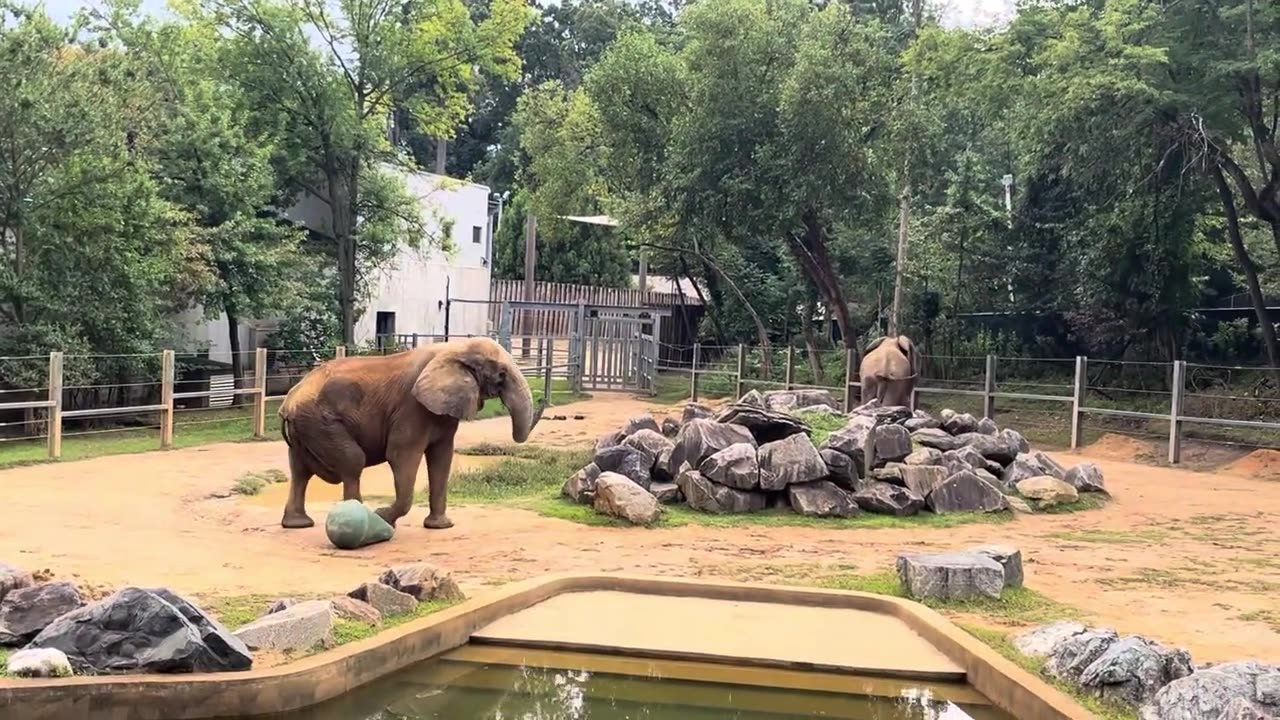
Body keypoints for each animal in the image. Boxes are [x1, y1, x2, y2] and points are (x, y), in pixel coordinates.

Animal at [276, 337, 541, 531]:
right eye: (502, 374)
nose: (542, 401)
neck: (453, 348)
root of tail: (288, 401)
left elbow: (442, 458)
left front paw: (440, 527)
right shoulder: (411, 408)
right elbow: (401, 456)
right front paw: (383, 518)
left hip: (308, 427)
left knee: (300, 471)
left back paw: (298, 524)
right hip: (322, 423)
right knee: (353, 462)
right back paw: (361, 521)